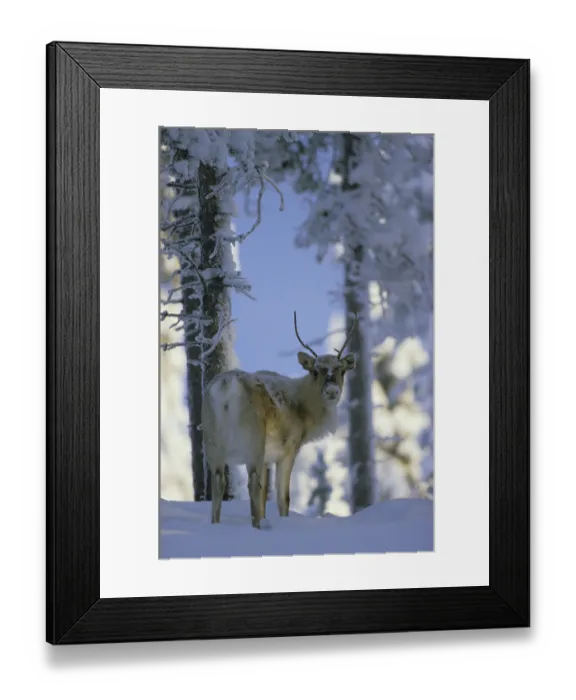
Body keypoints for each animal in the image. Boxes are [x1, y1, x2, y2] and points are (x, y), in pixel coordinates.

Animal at [201, 311, 357, 529]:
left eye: (341, 370)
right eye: (315, 371)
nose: (332, 391)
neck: (306, 414)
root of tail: (225, 387)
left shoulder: (268, 457)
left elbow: (266, 496)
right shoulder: (288, 448)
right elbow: (284, 497)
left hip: (212, 443)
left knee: (219, 484)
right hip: (253, 442)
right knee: (252, 484)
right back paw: (256, 528)